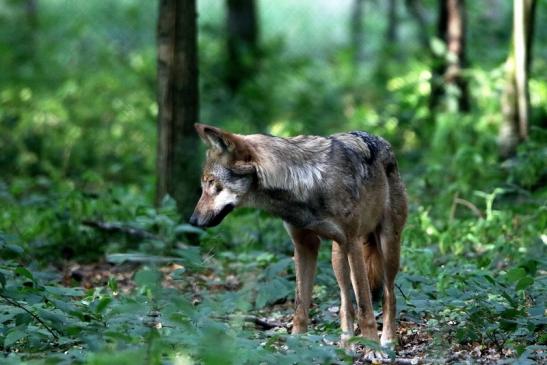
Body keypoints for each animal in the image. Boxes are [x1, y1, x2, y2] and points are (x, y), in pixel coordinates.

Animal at [188, 123, 406, 352]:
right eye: (205, 184)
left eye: (212, 182)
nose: (192, 221)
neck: (307, 183)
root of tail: (382, 141)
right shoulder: (304, 245)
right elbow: (300, 305)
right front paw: (296, 346)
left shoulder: (353, 243)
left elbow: (365, 306)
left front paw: (372, 347)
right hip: (338, 258)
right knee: (346, 303)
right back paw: (346, 345)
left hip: (387, 247)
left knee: (389, 295)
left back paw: (387, 341)